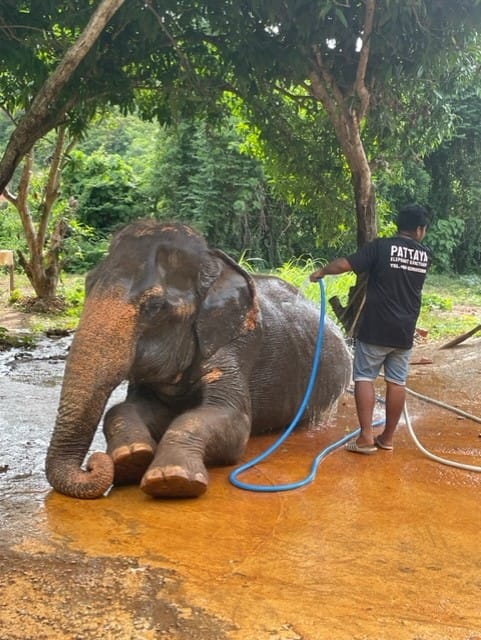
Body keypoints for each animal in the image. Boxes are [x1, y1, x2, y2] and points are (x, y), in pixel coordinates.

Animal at [46, 220, 352, 499]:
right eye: (87, 284)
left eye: (154, 307)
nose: (91, 465)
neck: (214, 264)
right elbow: (129, 408)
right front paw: (130, 459)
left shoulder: (239, 343)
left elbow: (228, 419)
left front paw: (172, 480)